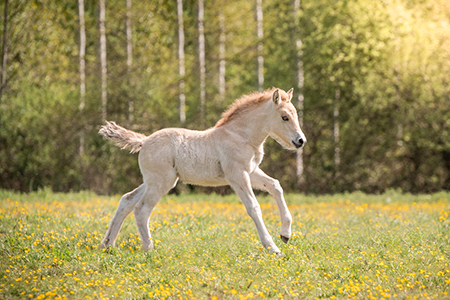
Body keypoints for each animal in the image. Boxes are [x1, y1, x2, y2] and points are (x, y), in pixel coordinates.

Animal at [99, 88, 306, 254]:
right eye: (285, 117)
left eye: (295, 114)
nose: (300, 141)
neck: (241, 136)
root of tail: (145, 140)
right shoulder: (237, 175)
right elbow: (254, 207)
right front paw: (273, 248)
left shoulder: (252, 171)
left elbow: (275, 186)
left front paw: (285, 234)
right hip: (161, 182)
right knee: (141, 209)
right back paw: (149, 249)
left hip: (153, 181)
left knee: (127, 201)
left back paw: (107, 245)